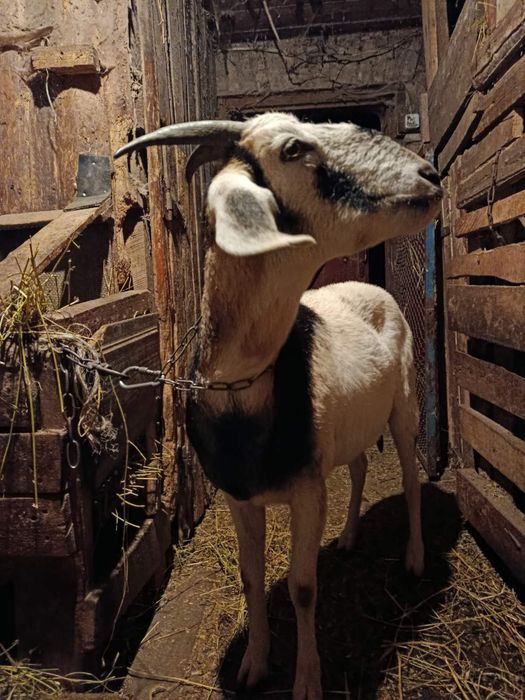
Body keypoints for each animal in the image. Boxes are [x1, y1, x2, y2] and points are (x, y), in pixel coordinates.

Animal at [115, 113, 441, 700]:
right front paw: (255, 664)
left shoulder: (307, 491)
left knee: (407, 477)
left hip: (404, 406)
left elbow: (303, 586)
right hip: (350, 428)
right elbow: (251, 576)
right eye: (293, 148)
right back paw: (350, 538)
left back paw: (414, 559)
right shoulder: (240, 497)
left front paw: (307, 680)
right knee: (360, 465)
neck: (242, 393)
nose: (429, 175)